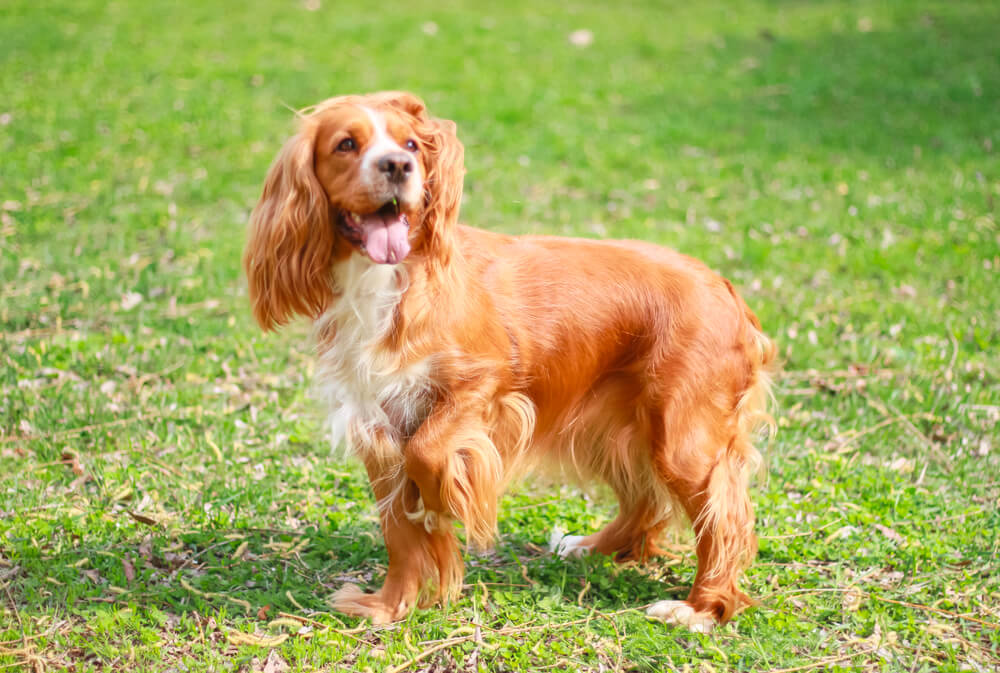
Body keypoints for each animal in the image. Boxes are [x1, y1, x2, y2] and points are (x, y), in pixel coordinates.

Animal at [242, 90, 772, 632]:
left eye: (410, 145)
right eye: (346, 144)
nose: (397, 166)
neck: (390, 280)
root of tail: (724, 287)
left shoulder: (484, 384)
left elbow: (427, 455)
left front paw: (439, 505)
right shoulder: (379, 429)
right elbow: (400, 534)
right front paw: (389, 607)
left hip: (682, 437)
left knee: (724, 517)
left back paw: (701, 607)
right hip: (615, 424)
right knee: (644, 498)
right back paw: (591, 547)